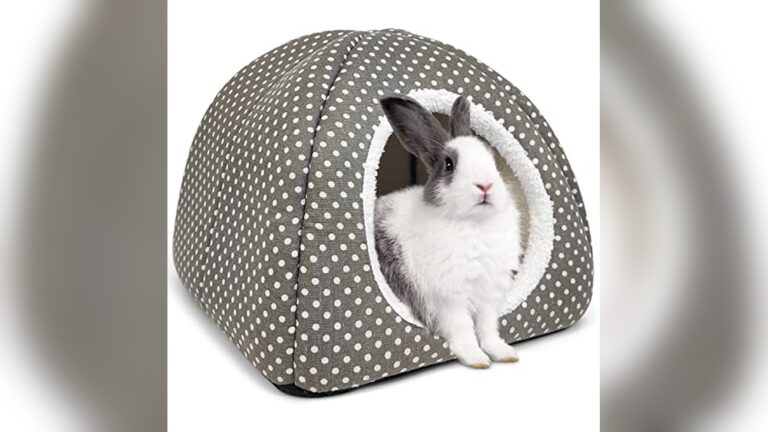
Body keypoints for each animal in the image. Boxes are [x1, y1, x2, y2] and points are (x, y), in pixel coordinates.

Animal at [375, 95, 522, 368]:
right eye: (449, 165)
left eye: (492, 160)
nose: (485, 185)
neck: (474, 223)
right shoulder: (449, 298)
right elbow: (463, 328)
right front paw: (476, 359)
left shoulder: (487, 295)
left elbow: (488, 328)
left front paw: (503, 353)